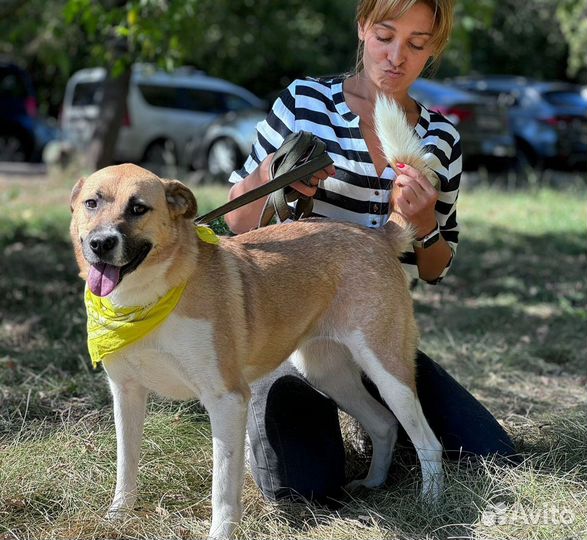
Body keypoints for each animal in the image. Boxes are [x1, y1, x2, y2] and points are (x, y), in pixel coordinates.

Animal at [69, 95, 444, 536]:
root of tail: (376, 236)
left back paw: (432, 503)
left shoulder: (227, 400)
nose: (100, 244)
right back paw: (372, 484)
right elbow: (126, 466)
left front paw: (219, 533)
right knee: (384, 424)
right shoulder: (126, 394)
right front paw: (118, 516)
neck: (146, 299)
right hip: (328, 373)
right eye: (91, 203)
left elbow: (222, 489)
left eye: (139, 208)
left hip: (388, 370)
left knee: (428, 441)